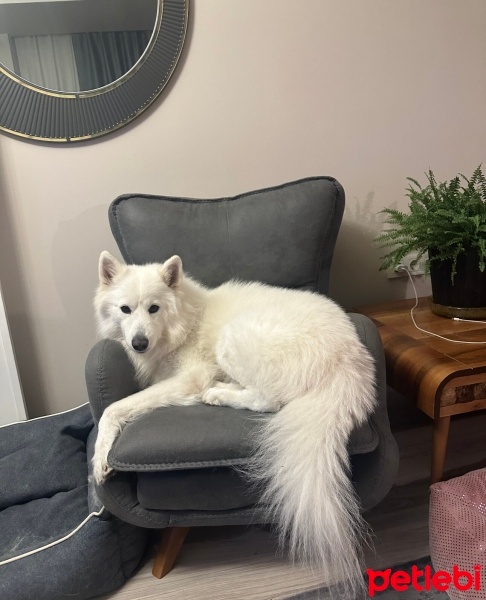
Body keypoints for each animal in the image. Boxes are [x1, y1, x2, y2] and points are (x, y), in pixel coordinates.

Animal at [93, 250, 378, 596]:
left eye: (153, 308)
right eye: (125, 309)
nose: (139, 344)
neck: (185, 321)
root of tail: (349, 357)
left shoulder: (190, 377)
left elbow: (113, 408)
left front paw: (98, 460)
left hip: (234, 337)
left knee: (269, 400)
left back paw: (218, 394)